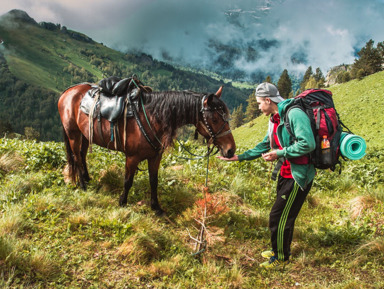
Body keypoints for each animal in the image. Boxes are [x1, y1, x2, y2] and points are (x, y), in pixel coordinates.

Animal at [58, 80, 236, 215]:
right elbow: (128, 181)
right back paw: (83, 185)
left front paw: (156, 208)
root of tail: (67, 92)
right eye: (214, 119)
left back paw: (87, 178)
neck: (151, 117)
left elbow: (154, 181)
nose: (230, 150)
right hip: (73, 134)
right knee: (76, 157)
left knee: (82, 155)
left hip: (85, 134)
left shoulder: (155, 157)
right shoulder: (132, 158)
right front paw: (122, 202)